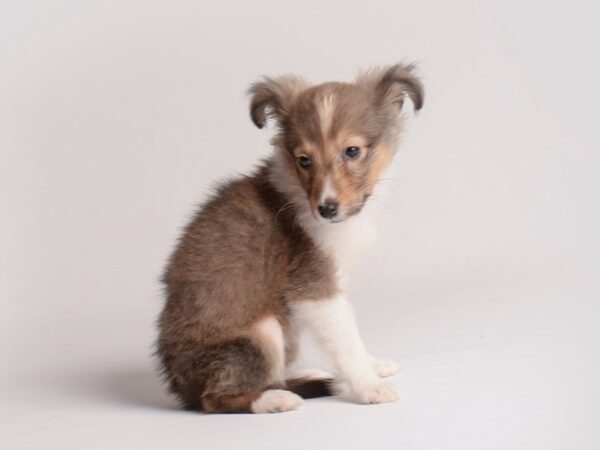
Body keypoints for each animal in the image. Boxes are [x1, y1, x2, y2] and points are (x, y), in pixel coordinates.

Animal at [157, 62, 424, 412]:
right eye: (304, 160)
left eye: (352, 151)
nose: (326, 209)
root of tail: (179, 388)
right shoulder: (314, 288)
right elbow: (346, 339)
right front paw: (369, 386)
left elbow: (350, 332)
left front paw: (373, 367)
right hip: (263, 332)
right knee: (215, 399)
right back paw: (276, 399)